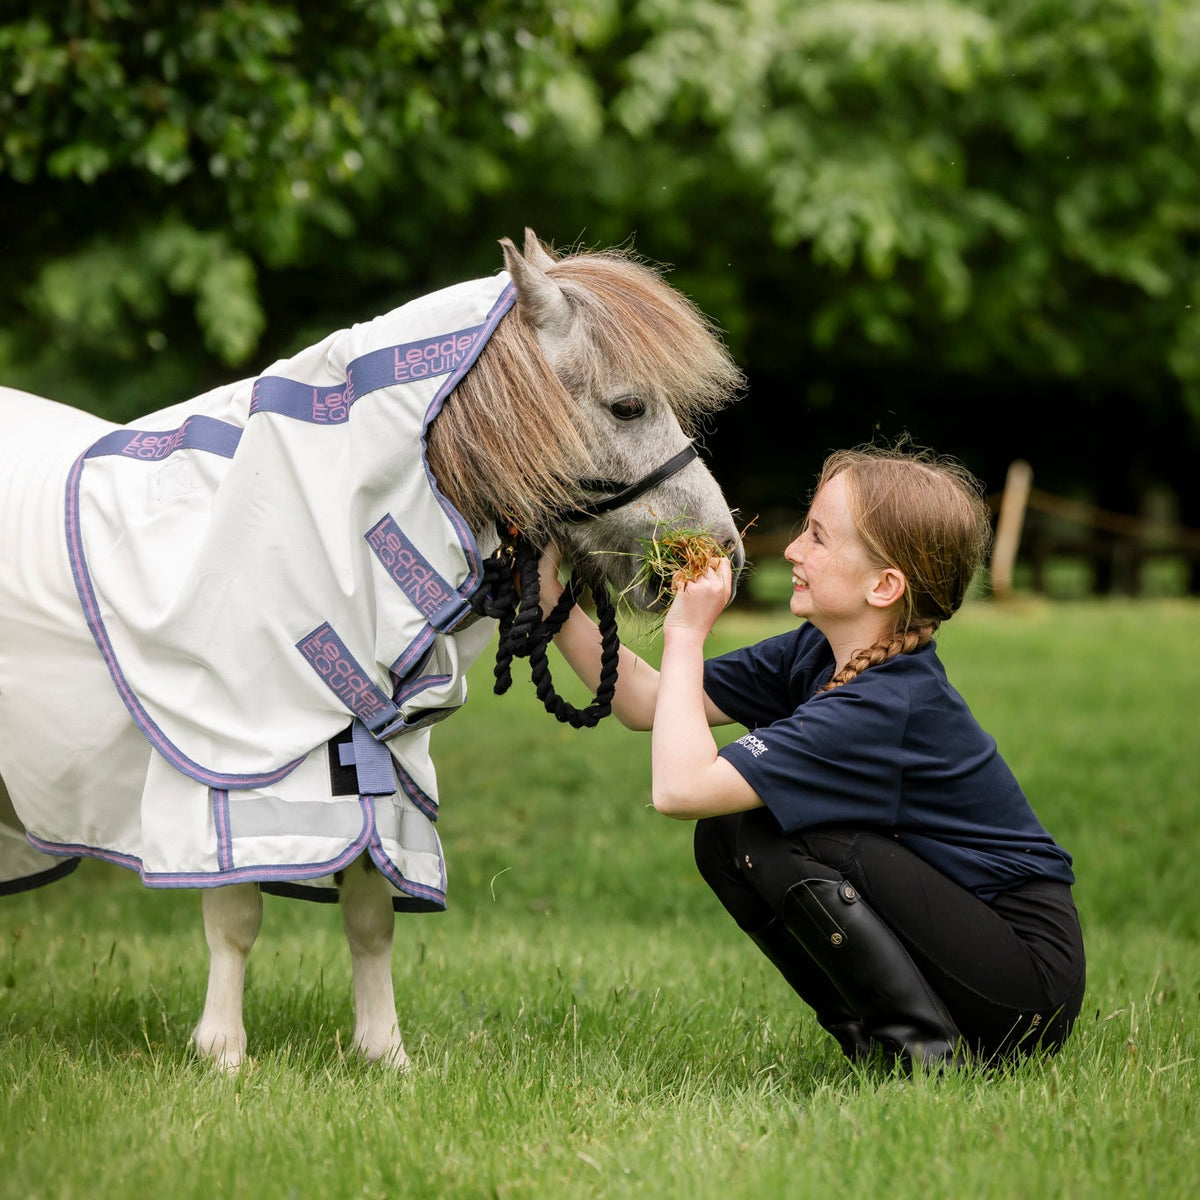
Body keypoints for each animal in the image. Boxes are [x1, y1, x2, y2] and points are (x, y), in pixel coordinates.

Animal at [0, 229, 745, 1070]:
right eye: (627, 405)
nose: (725, 550)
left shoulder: (371, 769)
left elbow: (370, 915)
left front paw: (384, 1053)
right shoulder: (228, 767)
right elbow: (235, 918)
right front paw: (223, 1053)